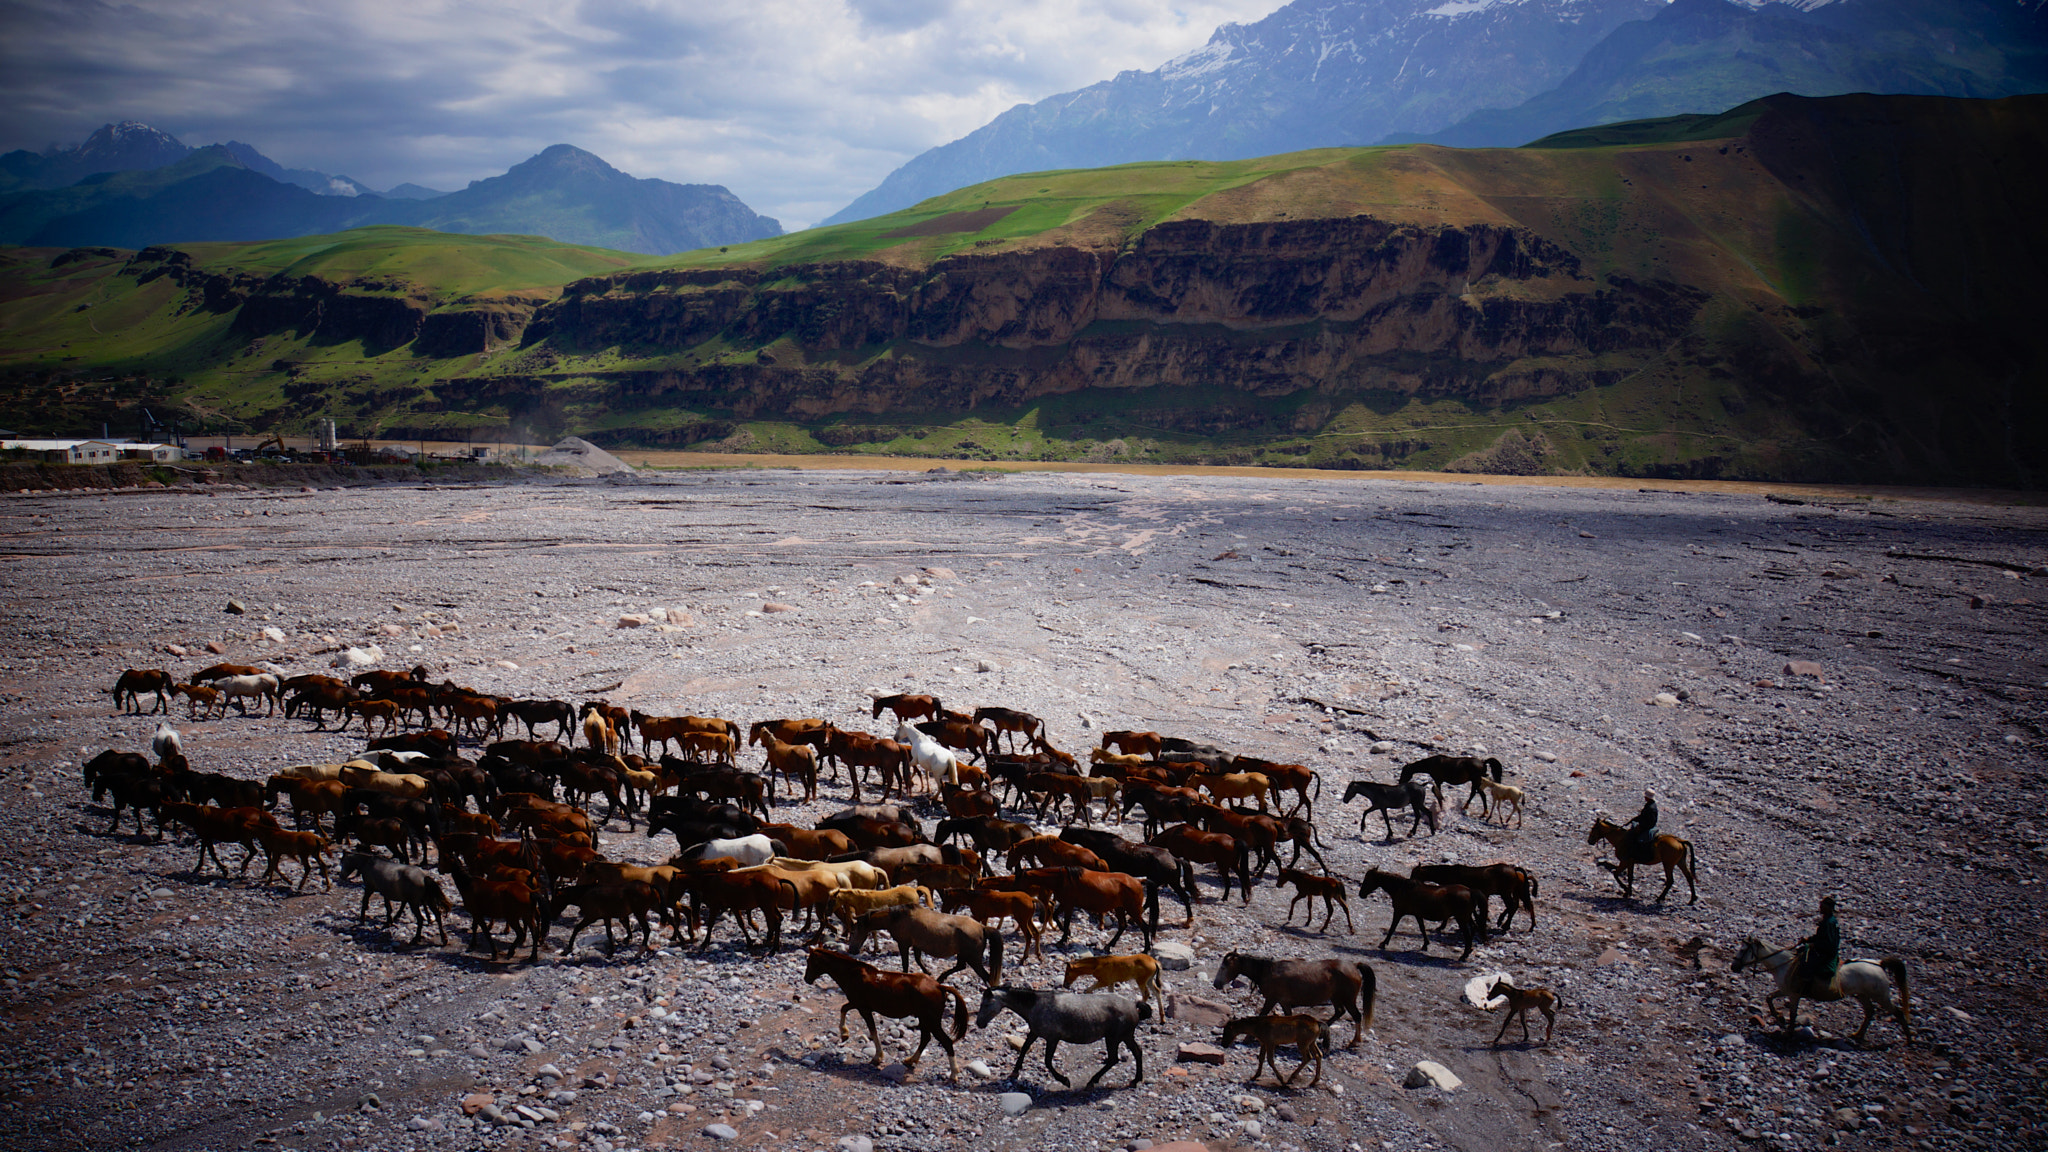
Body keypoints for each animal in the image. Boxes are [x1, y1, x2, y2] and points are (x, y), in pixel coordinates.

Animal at [802, 947, 970, 1074]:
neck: (853, 974)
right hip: (924, 1019)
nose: (806, 979)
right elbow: (844, 1008)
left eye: (810, 961)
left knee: (946, 1042)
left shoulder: (863, 1007)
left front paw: (877, 1057)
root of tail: (939, 986)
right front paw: (844, 1033)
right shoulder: (858, 1004)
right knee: (925, 1039)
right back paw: (910, 1060)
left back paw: (954, 1074)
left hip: (931, 1021)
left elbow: (872, 1030)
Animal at [1736, 934, 1908, 1041]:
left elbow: (1792, 1013)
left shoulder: (1793, 993)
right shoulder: (1785, 990)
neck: (1784, 965)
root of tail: (1879, 964)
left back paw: (1909, 1039)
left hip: (1880, 996)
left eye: (1743, 950)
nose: (1733, 966)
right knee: (1870, 1012)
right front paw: (1779, 1017)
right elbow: (1769, 998)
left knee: (1898, 1012)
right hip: (1862, 995)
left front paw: (1788, 1032)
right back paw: (1857, 1035)